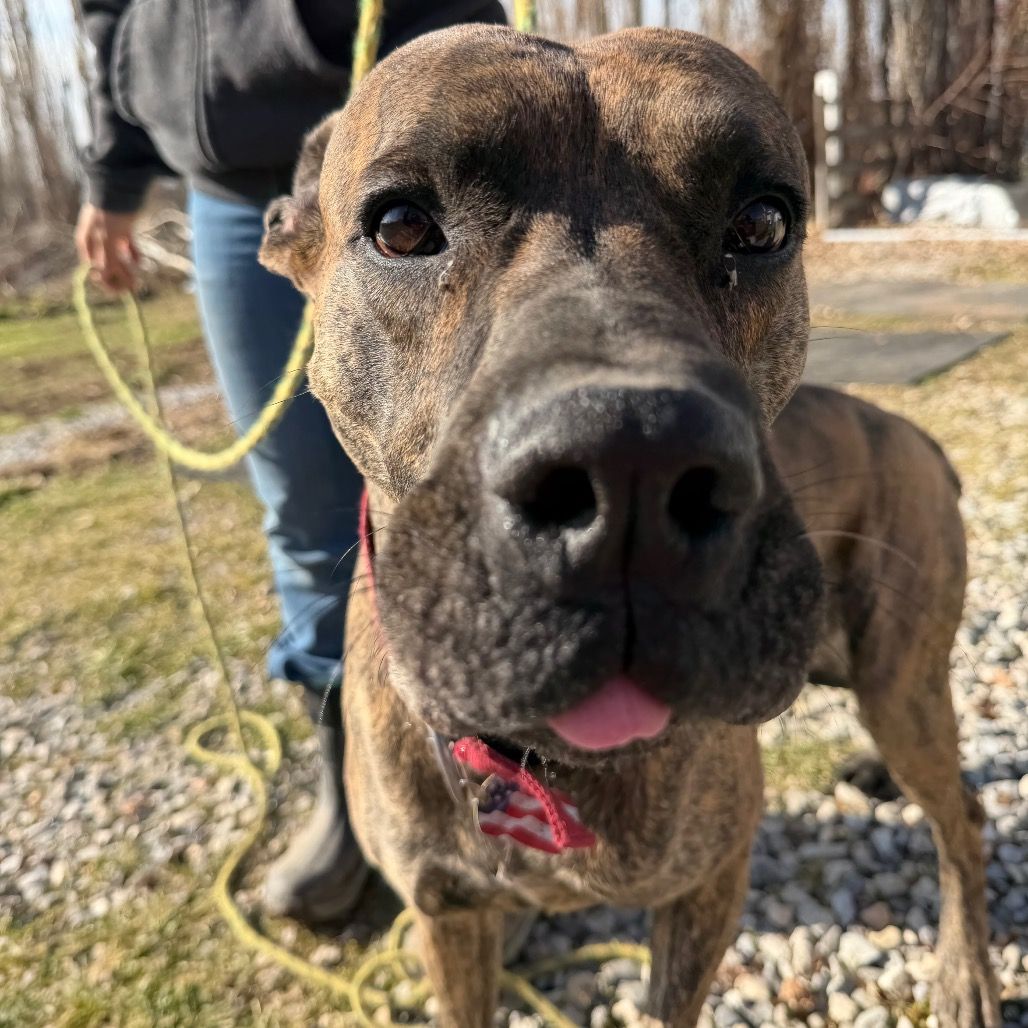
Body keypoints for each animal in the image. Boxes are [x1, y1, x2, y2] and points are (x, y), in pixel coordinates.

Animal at [260, 25, 999, 1027]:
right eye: (401, 226)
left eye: (763, 224)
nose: (634, 467)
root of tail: (913, 433)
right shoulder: (447, 918)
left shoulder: (707, 885)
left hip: (900, 680)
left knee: (960, 812)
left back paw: (966, 969)